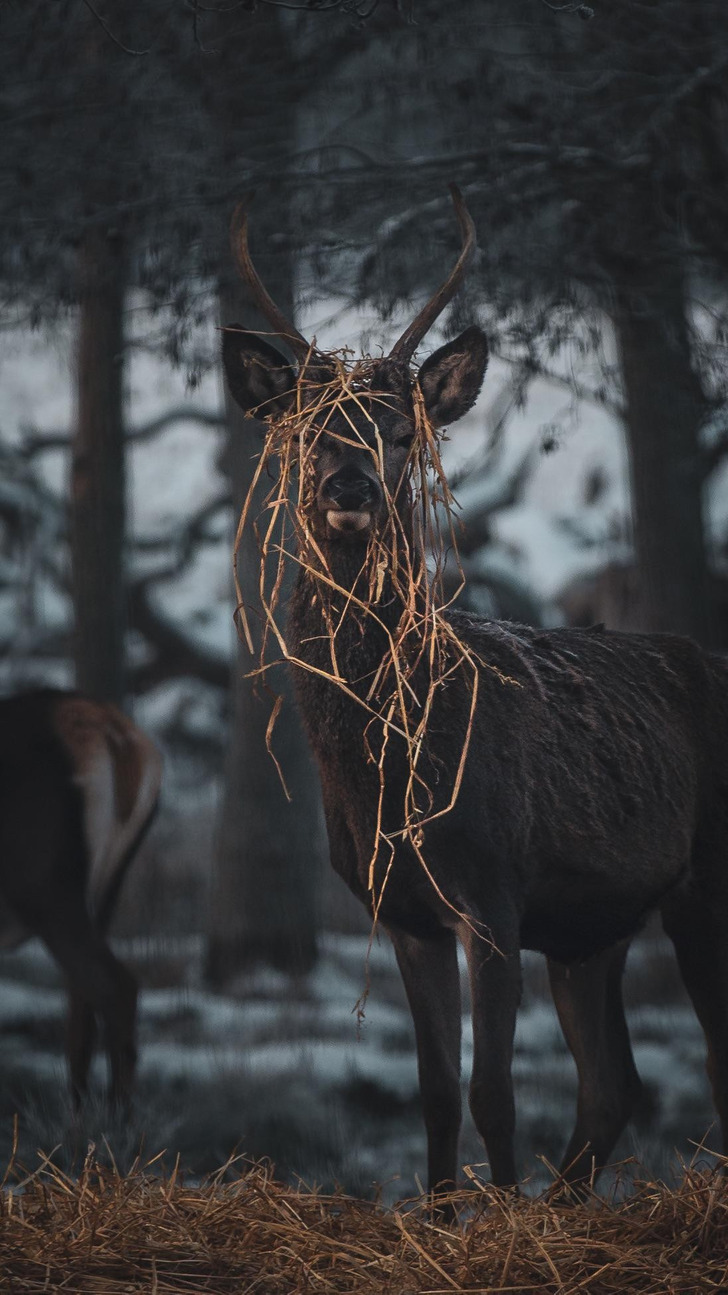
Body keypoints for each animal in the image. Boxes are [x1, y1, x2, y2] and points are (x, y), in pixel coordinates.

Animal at [0, 688, 162, 1108]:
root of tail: (116, 736)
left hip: (45, 887)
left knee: (114, 988)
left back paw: (115, 1118)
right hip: (106, 890)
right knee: (83, 1009)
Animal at [221, 188, 728, 1203]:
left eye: (402, 433)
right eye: (306, 431)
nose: (350, 484)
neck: (396, 776)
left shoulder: (493, 889)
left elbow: (494, 1088)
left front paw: (501, 1215)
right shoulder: (406, 913)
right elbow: (435, 1092)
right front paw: (447, 1210)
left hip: (709, 879)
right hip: (593, 929)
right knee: (613, 1083)